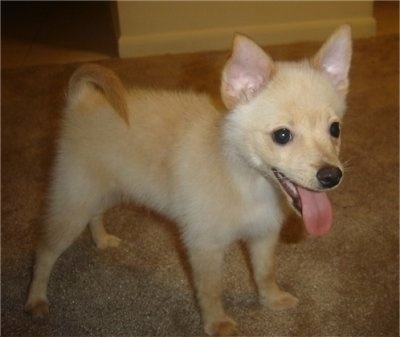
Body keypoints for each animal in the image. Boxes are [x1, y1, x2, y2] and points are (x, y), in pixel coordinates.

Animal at [25, 25, 352, 334]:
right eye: (282, 135)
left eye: (335, 129)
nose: (331, 176)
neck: (244, 178)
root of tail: (82, 100)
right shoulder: (204, 245)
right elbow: (210, 290)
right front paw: (217, 322)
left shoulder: (263, 235)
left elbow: (265, 272)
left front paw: (271, 299)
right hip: (73, 204)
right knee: (45, 250)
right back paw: (36, 298)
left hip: (105, 190)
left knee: (95, 214)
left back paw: (101, 239)